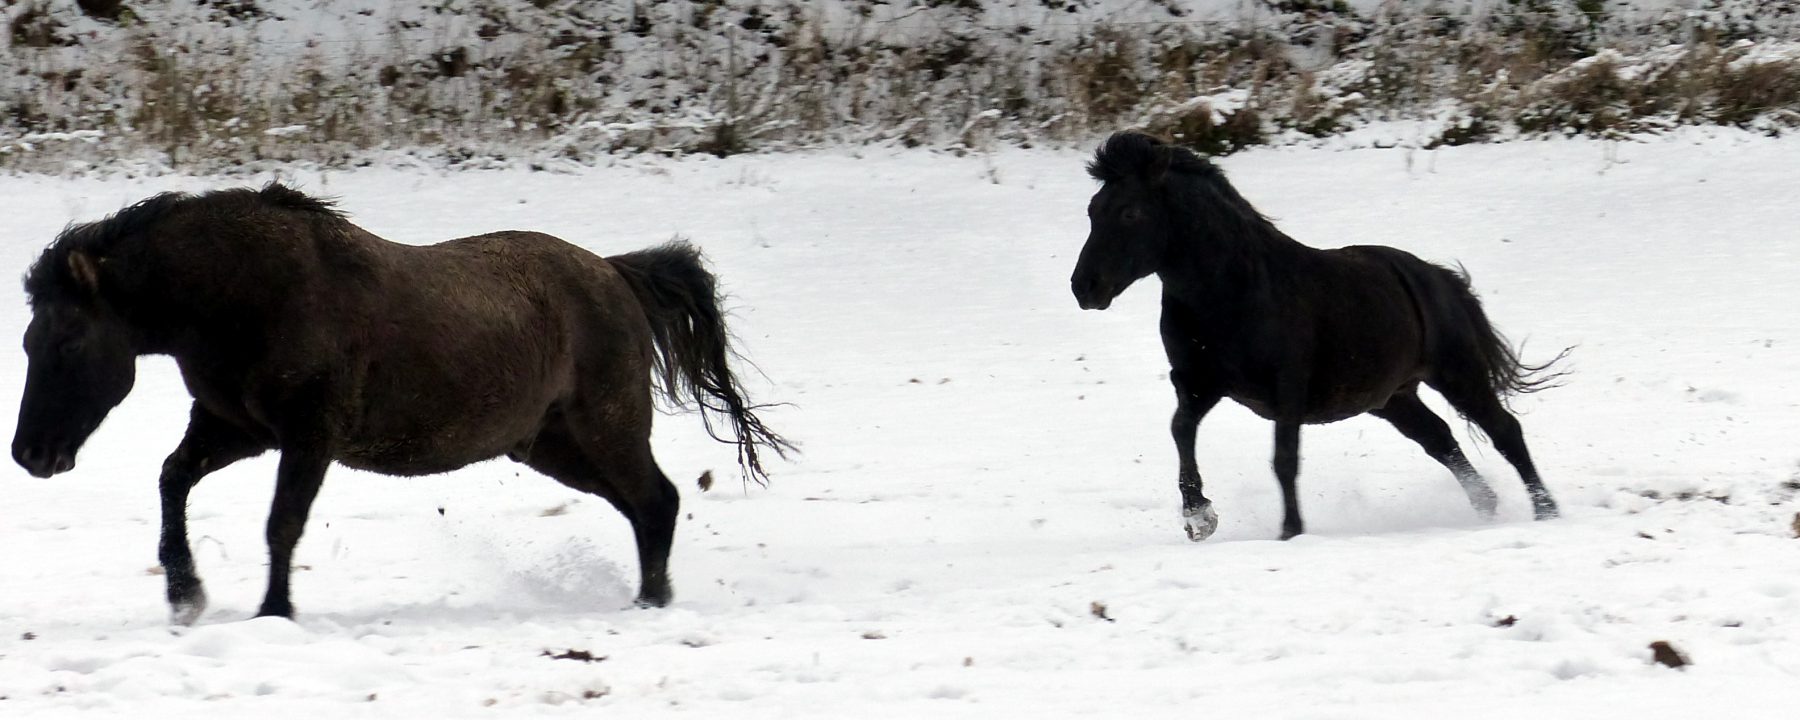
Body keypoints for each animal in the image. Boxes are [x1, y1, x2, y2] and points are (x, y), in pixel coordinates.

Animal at [11, 183, 792, 624]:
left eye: (68, 340)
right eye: (28, 339)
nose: (30, 454)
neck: (244, 295)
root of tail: (615, 273)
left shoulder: (308, 436)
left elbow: (282, 525)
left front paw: (273, 611)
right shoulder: (235, 428)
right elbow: (173, 480)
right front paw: (185, 595)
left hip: (604, 428)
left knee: (657, 500)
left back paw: (650, 605)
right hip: (553, 445)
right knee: (645, 506)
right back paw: (647, 597)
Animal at [1070, 132, 1565, 542]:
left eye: (1130, 212)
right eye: (1092, 211)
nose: (1083, 288)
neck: (1230, 291)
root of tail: (1439, 278)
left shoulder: (1286, 389)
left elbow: (1284, 460)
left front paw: (1290, 532)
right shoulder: (1198, 384)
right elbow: (1181, 431)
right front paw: (1199, 518)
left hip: (1456, 374)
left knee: (1504, 430)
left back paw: (1547, 512)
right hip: (1393, 398)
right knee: (1441, 440)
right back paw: (1488, 507)